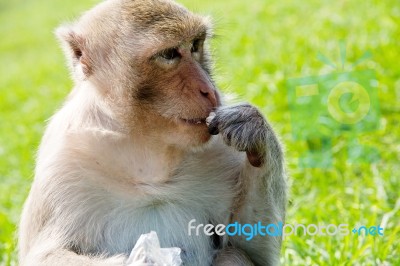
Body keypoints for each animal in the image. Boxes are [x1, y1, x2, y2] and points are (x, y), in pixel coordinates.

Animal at [18, 0, 286, 266]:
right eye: (169, 54)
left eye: (195, 45)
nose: (209, 90)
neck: (147, 151)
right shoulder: (63, 163)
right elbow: (44, 255)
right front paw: (146, 258)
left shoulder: (219, 146)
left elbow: (253, 249)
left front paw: (254, 130)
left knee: (233, 255)